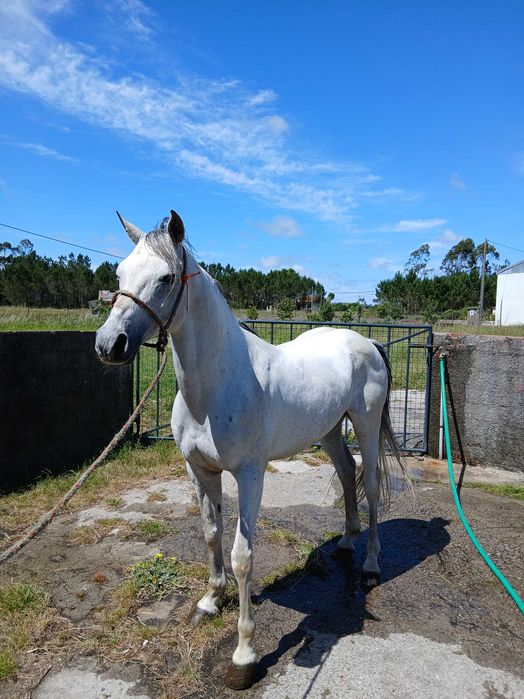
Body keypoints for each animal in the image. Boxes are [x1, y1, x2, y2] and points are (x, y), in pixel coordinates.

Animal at [95, 209, 409, 690]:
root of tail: (369, 343)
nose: (109, 344)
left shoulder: (249, 476)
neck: (218, 385)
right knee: (344, 471)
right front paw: (210, 601)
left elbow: (243, 557)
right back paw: (345, 543)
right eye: (119, 274)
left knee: (371, 484)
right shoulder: (199, 471)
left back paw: (372, 564)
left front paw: (243, 655)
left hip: (366, 424)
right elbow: (211, 534)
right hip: (329, 430)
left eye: (166, 278)